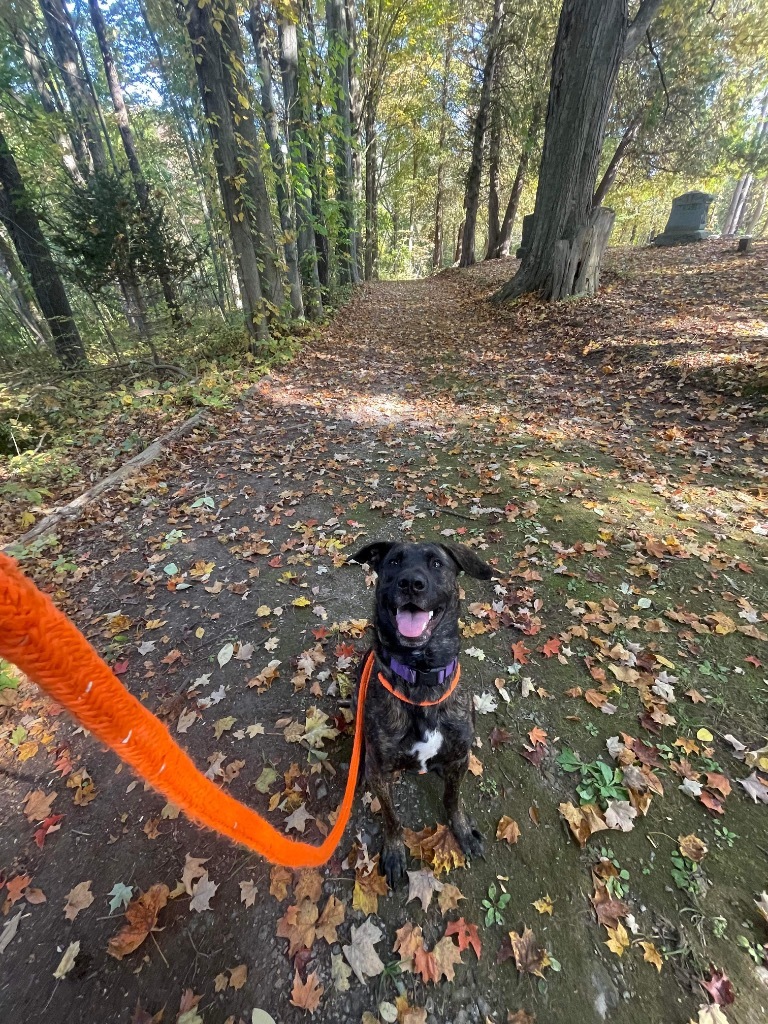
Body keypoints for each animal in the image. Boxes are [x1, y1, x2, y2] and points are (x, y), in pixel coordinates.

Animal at [352, 540, 495, 884]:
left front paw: (462, 831)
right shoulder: (381, 772)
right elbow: (391, 818)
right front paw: (393, 852)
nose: (410, 583)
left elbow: (453, 799)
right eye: (393, 562)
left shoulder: (460, 756)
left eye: (436, 564)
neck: (420, 676)